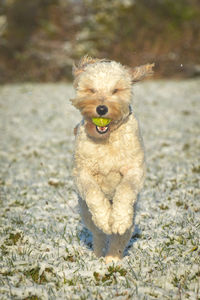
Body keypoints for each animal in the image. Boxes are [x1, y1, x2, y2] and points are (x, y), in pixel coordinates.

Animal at [69, 56, 154, 262]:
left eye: (115, 90)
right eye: (91, 90)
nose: (101, 108)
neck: (106, 139)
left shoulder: (135, 169)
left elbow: (125, 190)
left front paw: (118, 219)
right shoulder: (81, 172)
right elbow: (93, 192)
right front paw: (104, 218)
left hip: (133, 213)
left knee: (121, 237)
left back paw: (112, 259)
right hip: (85, 212)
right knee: (98, 233)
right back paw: (99, 255)